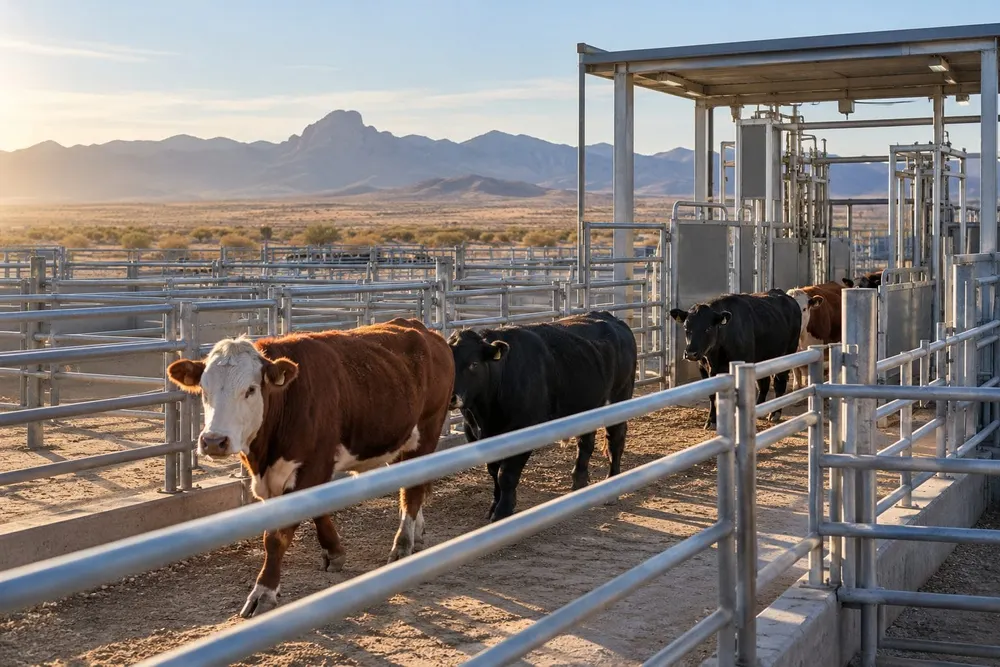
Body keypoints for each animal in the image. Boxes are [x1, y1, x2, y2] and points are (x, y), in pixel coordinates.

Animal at [166, 318, 454, 618]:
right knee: (409, 485)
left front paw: (263, 592)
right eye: (204, 390)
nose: (213, 441)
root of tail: (422, 330)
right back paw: (416, 532)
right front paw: (334, 551)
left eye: (250, 389)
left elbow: (276, 537)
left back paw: (402, 544)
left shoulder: (314, 465)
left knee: (413, 491)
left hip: (427, 429)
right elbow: (316, 510)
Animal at [447, 311, 637, 522]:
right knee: (586, 443)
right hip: (588, 405)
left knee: (615, 441)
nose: (452, 397)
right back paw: (579, 484)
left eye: (473, 364)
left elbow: (506, 475)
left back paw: (612, 487)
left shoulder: (523, 431)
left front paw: (503, 511)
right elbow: (493, 471)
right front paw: (494, 506)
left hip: (619, 396)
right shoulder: (475, 433)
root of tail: (611, 318)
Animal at [670, 289, 801, 429]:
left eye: (708, 328)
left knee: (779, 383)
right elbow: (712, 395)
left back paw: (775, 413)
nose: (690, 353)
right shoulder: (703, 368)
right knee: (764, 384)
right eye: (686, 327)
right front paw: (711, 420)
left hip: (787, 354)